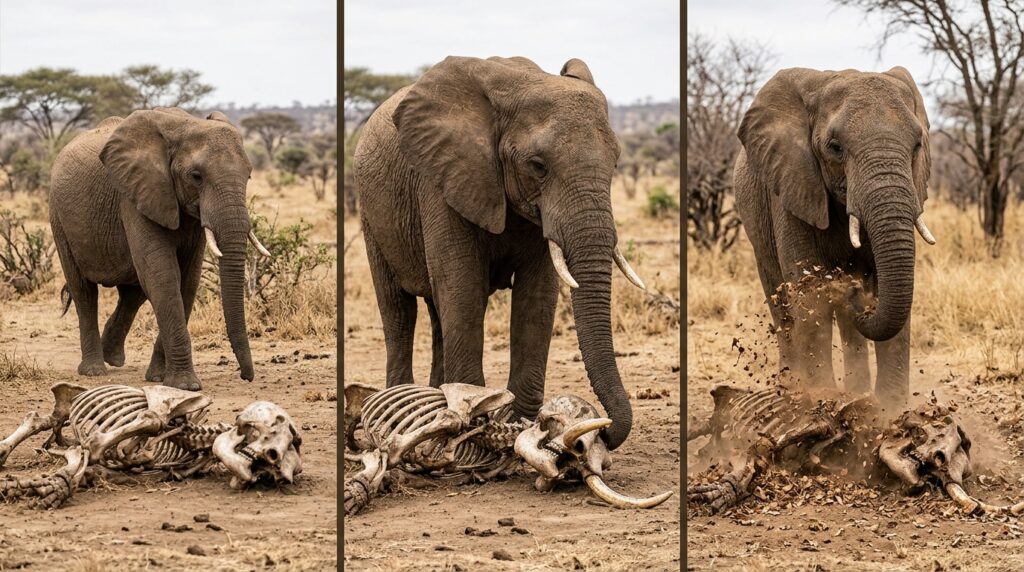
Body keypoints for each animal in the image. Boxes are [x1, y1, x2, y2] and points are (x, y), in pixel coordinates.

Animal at [49, 107, 271, 391]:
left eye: (249, 175)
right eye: (196, 177)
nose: (246, 376)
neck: (183, 126)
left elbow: (187, 281)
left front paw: (158, 378)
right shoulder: (135, 195)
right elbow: (163, 275)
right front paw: (185, 385)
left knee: (133, 293)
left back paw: (112, 356)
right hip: (58, 217)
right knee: (84, 291)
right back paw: (94, 370)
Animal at [353, 56, 645, 450]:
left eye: (615, 162)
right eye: (538, 165)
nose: (604, 431)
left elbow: (537, 298)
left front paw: (521, 426)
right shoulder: (442, 179)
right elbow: (462, 288)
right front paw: (475, 424)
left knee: (437, 312)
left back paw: (434, 399)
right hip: (371, 212)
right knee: (398, 310)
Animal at [734, 66, 935, 411]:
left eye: (917, 145)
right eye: (835, 147)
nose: (865, 309)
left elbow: (893, 286)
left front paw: (889, 410)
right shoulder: (794, 186)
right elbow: (810, 291)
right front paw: (821, 400)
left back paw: (856, 391)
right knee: (781, 302)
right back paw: (791, 390)